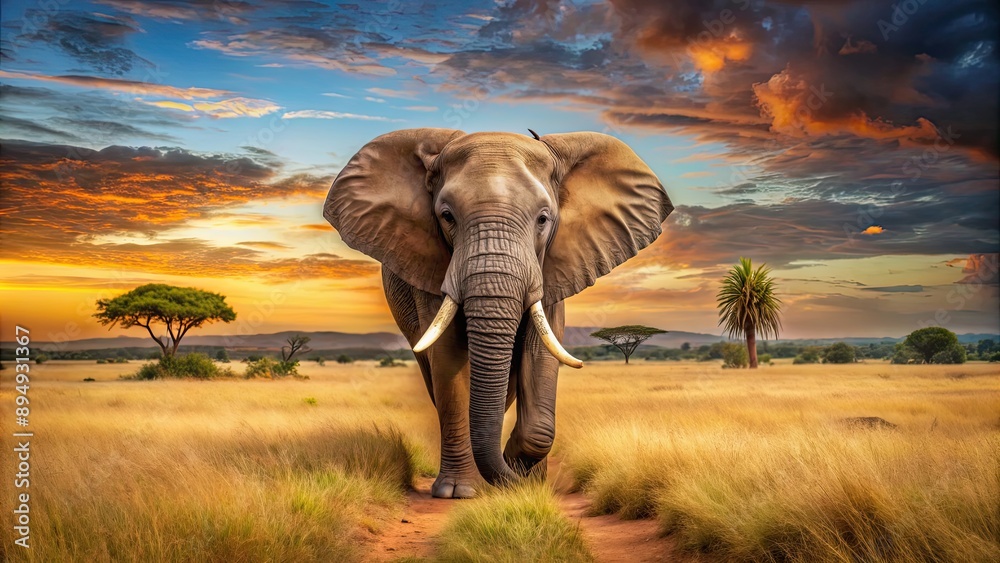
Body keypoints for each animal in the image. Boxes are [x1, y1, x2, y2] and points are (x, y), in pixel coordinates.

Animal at [323, 128, 673, 498]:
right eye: (447, 216)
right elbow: (449, 358)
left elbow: (540, 354)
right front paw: (459, 491)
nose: (512, 477)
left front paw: (521, 475)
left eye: (543, 219)